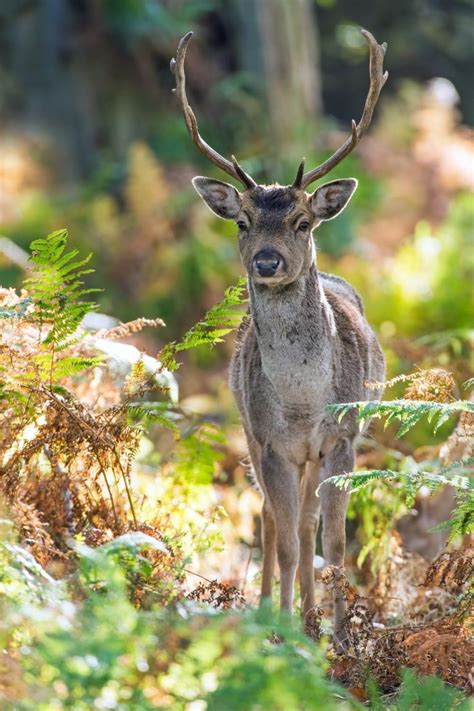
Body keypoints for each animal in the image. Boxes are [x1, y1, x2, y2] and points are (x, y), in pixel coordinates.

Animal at [172, 29, 386, 644]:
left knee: (309, 521)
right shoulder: (270, 443)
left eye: (303, 222)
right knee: (271, 519)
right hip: (249, 431)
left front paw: (340, 638)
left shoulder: (341, 437)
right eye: (242, 222)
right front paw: (284, 633)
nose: (267, 261)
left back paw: (314, 618)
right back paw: (274, 608)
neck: (301, 403)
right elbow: (288, 542)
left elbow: (333, 541)